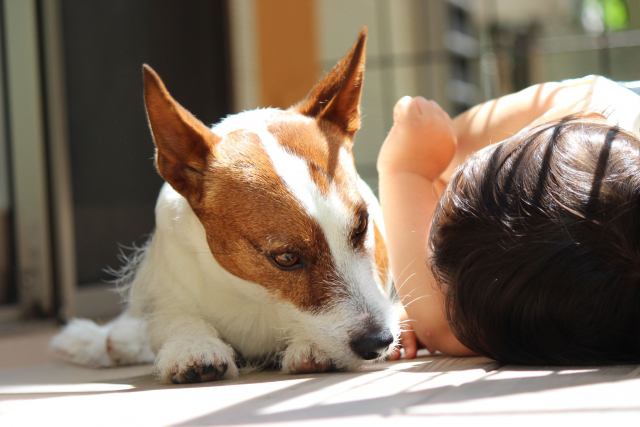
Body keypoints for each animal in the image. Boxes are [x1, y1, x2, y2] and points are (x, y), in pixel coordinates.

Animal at [51, 30, 400, 384]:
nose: (378, 341)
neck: (255, 292)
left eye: (361, 227)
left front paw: (311, 346)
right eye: (286, 258)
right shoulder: (167, 291)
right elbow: (174, 319)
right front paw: (192, 345)